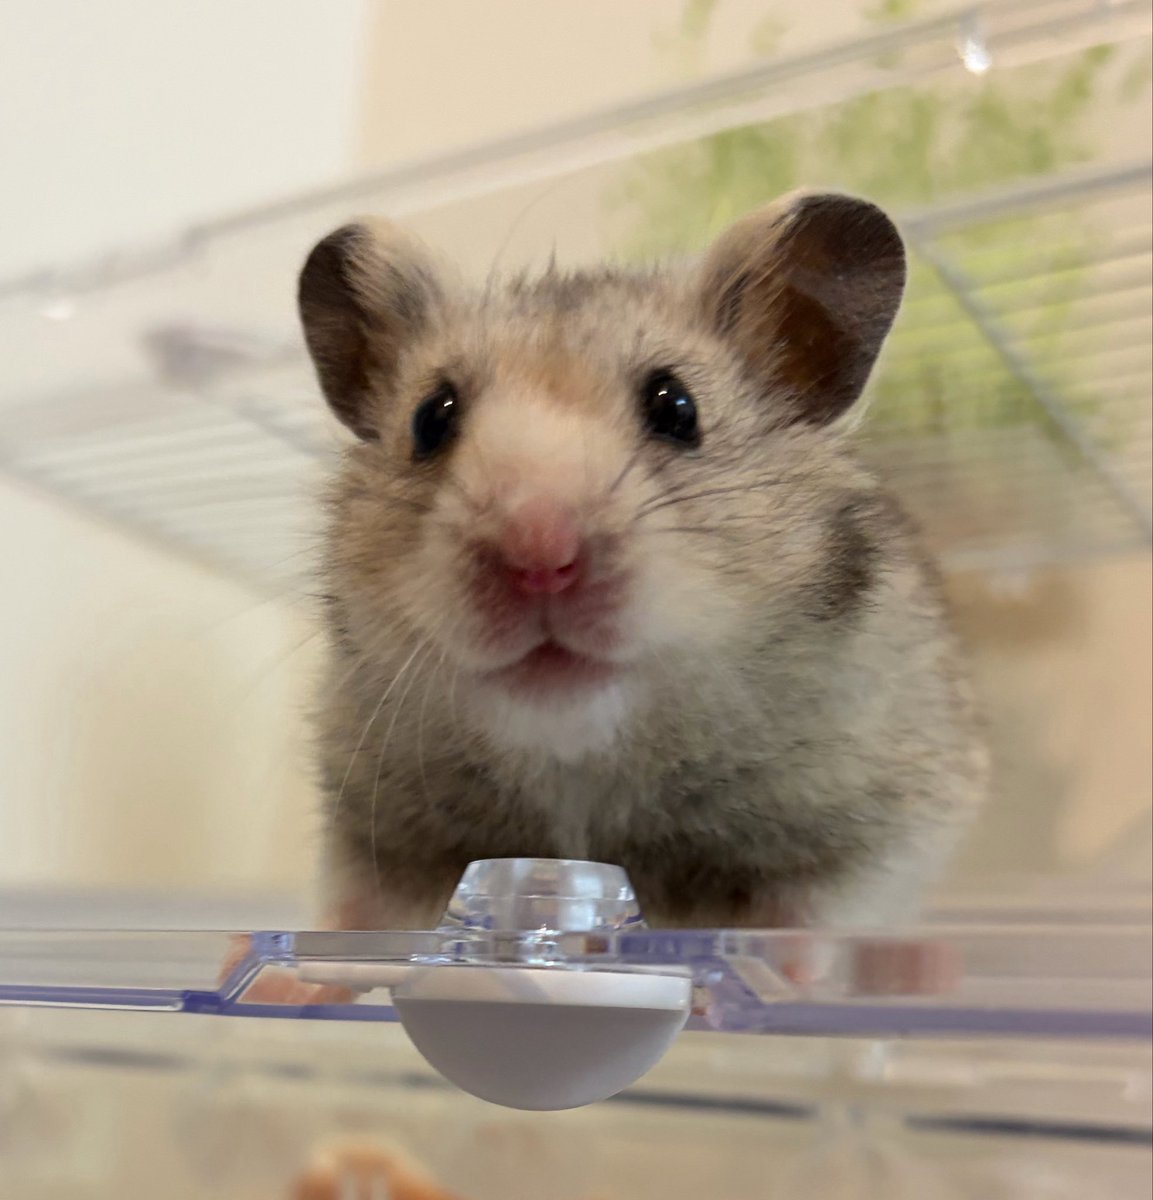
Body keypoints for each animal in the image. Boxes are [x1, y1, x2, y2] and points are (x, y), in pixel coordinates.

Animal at [297, 190, 987, 932]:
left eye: (676, 406)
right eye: (431, 418)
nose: (538, 554)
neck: (577, 764)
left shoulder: (895, 811)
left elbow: (812, 913)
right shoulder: (368, 824)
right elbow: (359, 913)